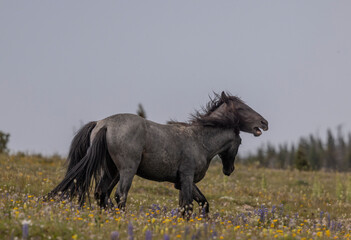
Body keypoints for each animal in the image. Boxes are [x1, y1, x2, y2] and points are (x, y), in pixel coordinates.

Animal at [48, 92, 270, 218]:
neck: (200, 140)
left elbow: (200, 203)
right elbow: (187, 206)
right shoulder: (187, 177)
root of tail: (103, 123)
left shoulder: (182, 181)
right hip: (126, 170)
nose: (264, 122)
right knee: (120, 195)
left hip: (112, 171)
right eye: (241, 107)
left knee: (101, 194)